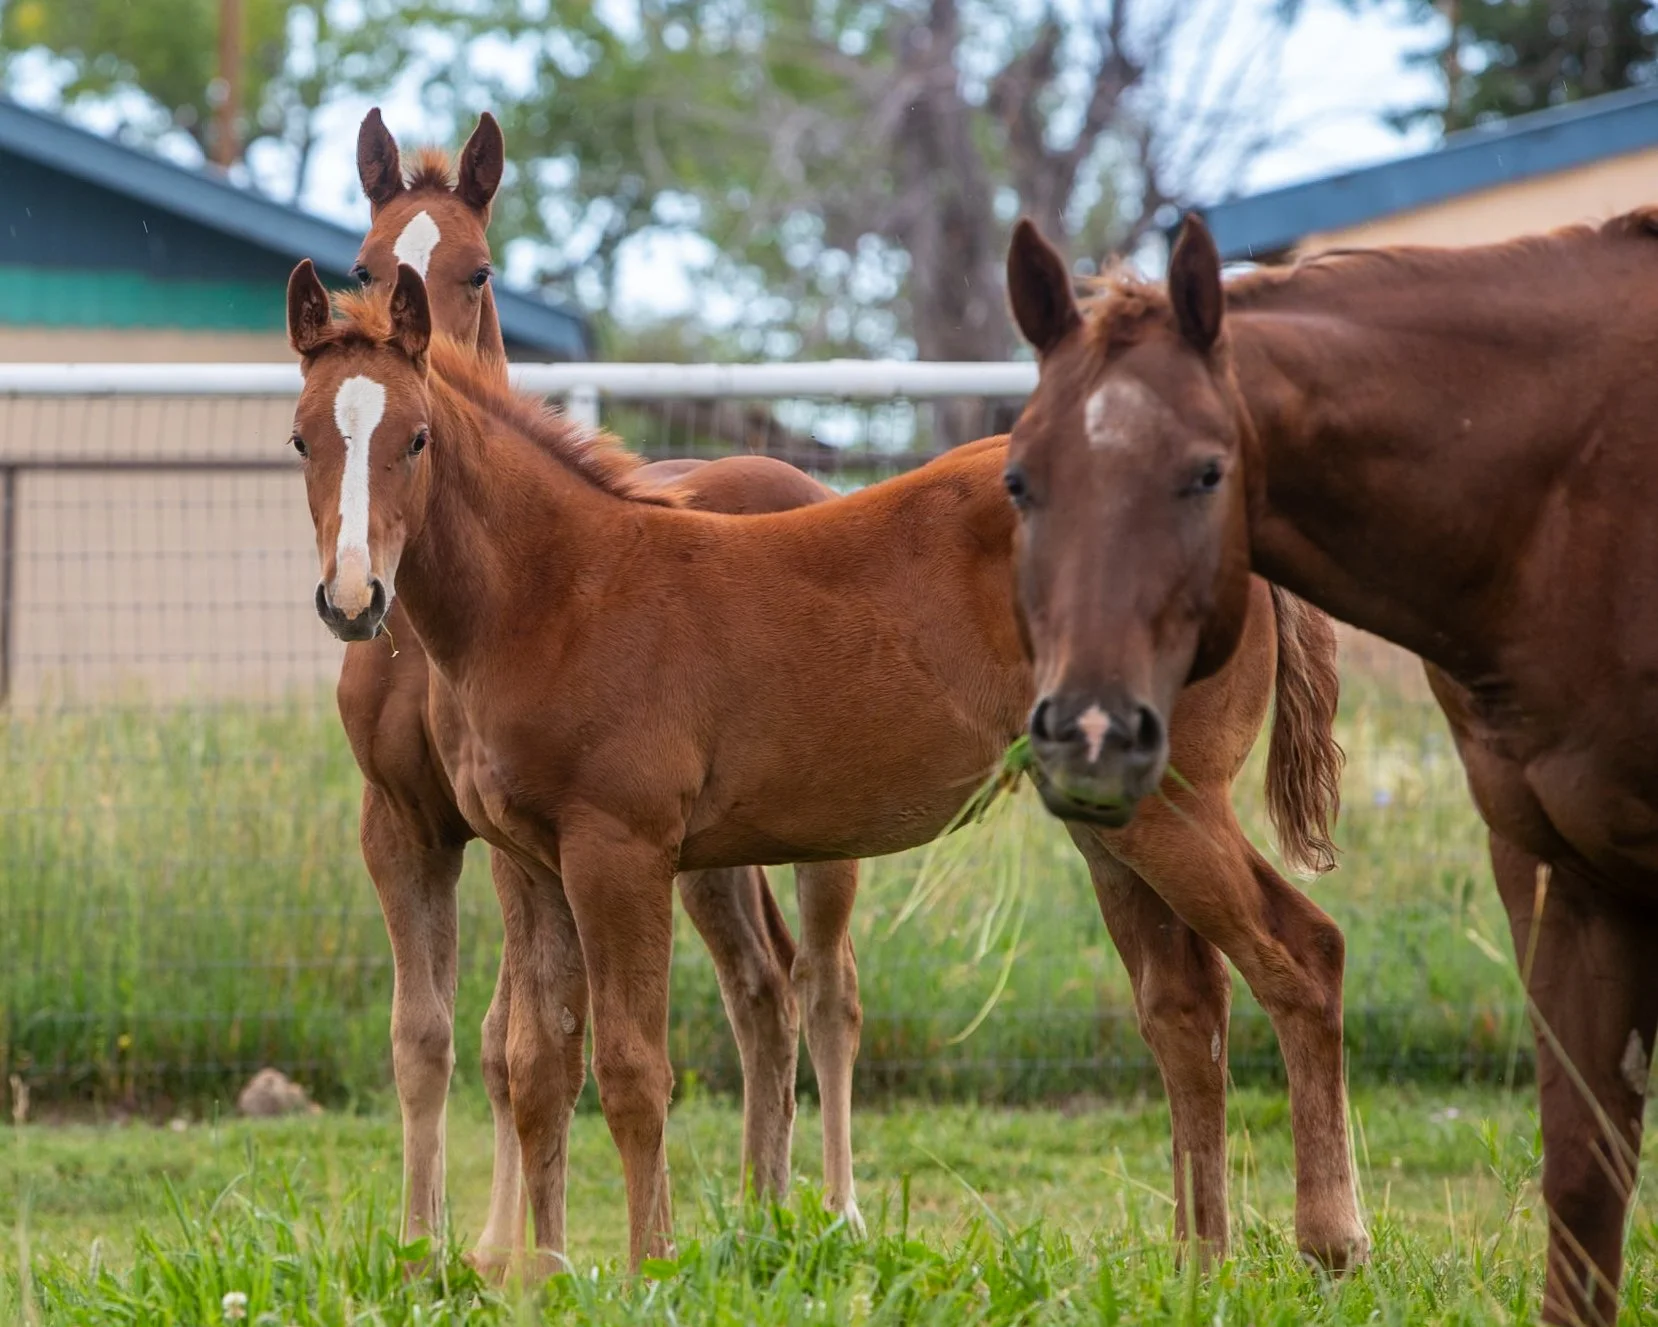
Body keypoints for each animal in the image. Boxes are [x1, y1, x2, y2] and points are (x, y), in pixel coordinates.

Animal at [283, 257, 1369, 1274]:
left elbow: (635, 1071)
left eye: (416, 438)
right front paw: (540, 1278)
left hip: (1172, 803)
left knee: (1301, 954)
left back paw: (1329, 1243)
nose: (352, 598)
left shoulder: (618, 848)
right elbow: (538, 1062)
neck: (560, 590)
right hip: (1108, 818)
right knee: (1184, 1007)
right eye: (301, 440)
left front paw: (646, 1268)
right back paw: (1200, 1261)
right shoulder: (535, 861)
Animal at [338, 109, 863, 1269]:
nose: (428, 374)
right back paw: (758, 1213)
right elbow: (431, 1037)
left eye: (480, 270)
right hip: (715, 848)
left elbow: (510, 1040)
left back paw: (836, 1212)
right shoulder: (406, 822)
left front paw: (505, 1248)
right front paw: (436, 1248)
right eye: (362, 266)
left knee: (825, 987)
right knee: (761, 987)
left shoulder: (519, 836)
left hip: (823, 829)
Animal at [1002, 211, 1658, 1324]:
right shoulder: (1555, 869)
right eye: (1018, 479)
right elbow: (1582, 1172)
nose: (1088, 728)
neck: (1566, 499)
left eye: (1208, 471)